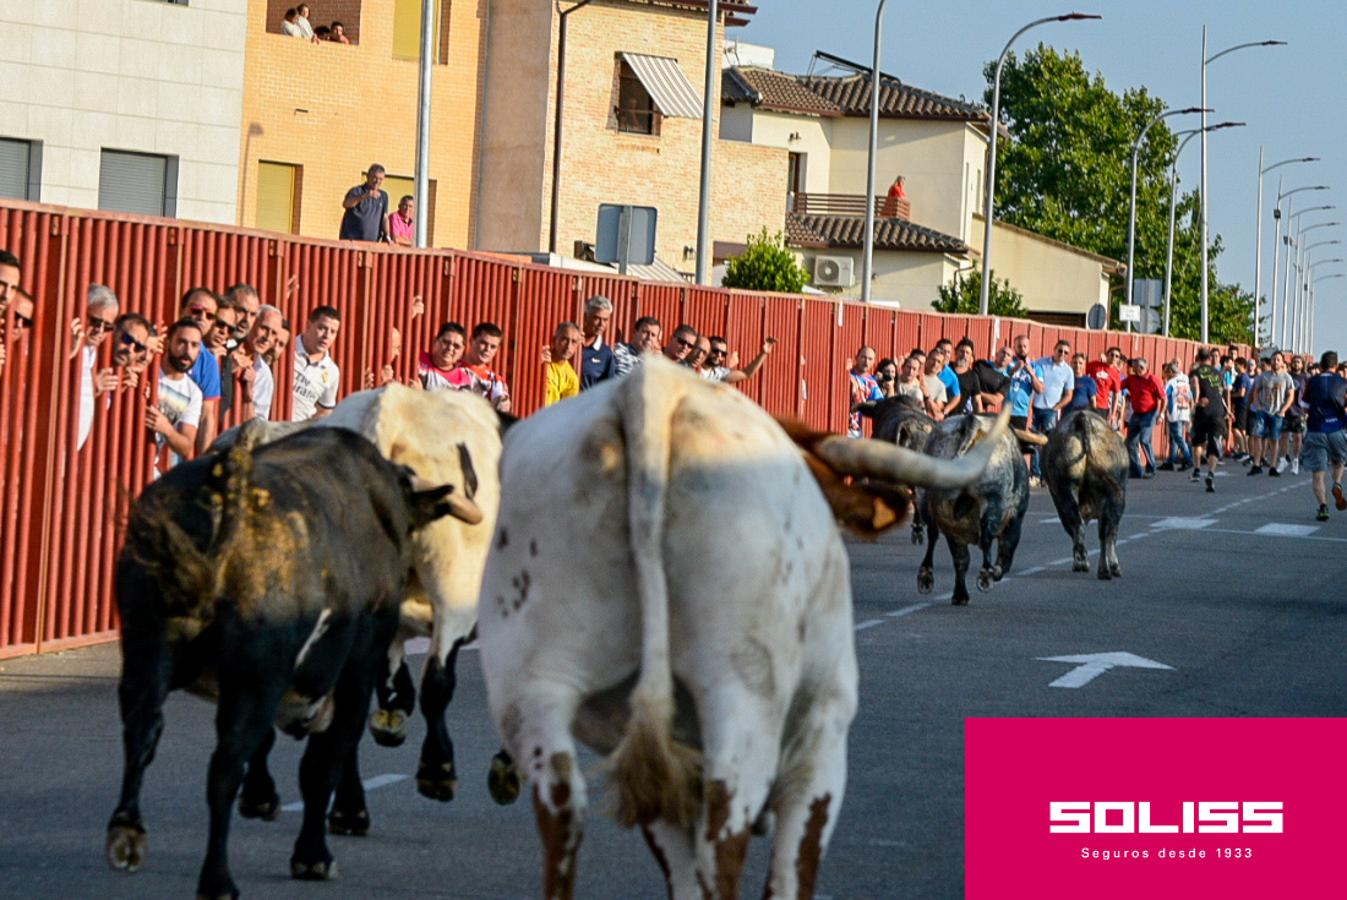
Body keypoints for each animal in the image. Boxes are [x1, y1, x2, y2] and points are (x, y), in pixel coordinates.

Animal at [101, 425, 468, 894]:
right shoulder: (354, 671)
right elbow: (323, 764)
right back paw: (218, 879)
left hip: (147, 653)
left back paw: (127, 832)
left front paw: (263, 799)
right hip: (253, 679)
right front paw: (313, 855)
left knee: (142, 730)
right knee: (224, 766)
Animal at [479, 355, 1007, 894]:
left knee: (562, 825)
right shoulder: (822, 741)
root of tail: (649, 392)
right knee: (723, 843)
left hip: (535, 696)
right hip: (742, 705)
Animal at [915, 412, 1029, 603]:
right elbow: (1006, 552)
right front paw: (995, 572)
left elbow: (961, 560)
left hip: (926, 497)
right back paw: (986, 576)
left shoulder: (954, 530)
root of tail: (970, 421)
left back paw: (925, 576)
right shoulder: (1015, 520)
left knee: (932, 533)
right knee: (987, 536)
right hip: (991, 498)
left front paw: (960, 595)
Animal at [1039, 406, 1126, 576]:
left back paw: (1087, 565)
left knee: (1079, 526)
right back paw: (1102, 567)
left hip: (1065, 492)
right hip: (1115, 493)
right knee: (1105, 530)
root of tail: (1081, 420)